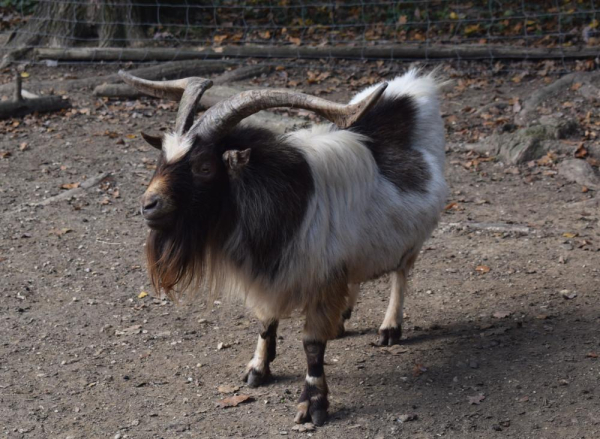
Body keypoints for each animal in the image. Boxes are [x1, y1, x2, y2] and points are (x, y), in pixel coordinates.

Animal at [122, 69, 448, 426]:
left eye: (204, 167)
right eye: (161, 158)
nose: (148, 205)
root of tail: (415, 85)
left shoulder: (321, 279)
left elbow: (312, 345)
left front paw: (313, 403)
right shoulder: (272, 274)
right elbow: (266, 323)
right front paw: (257, 369)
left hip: (411, 239)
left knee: (400, 275)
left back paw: (390, 328)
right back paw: (342, 318)